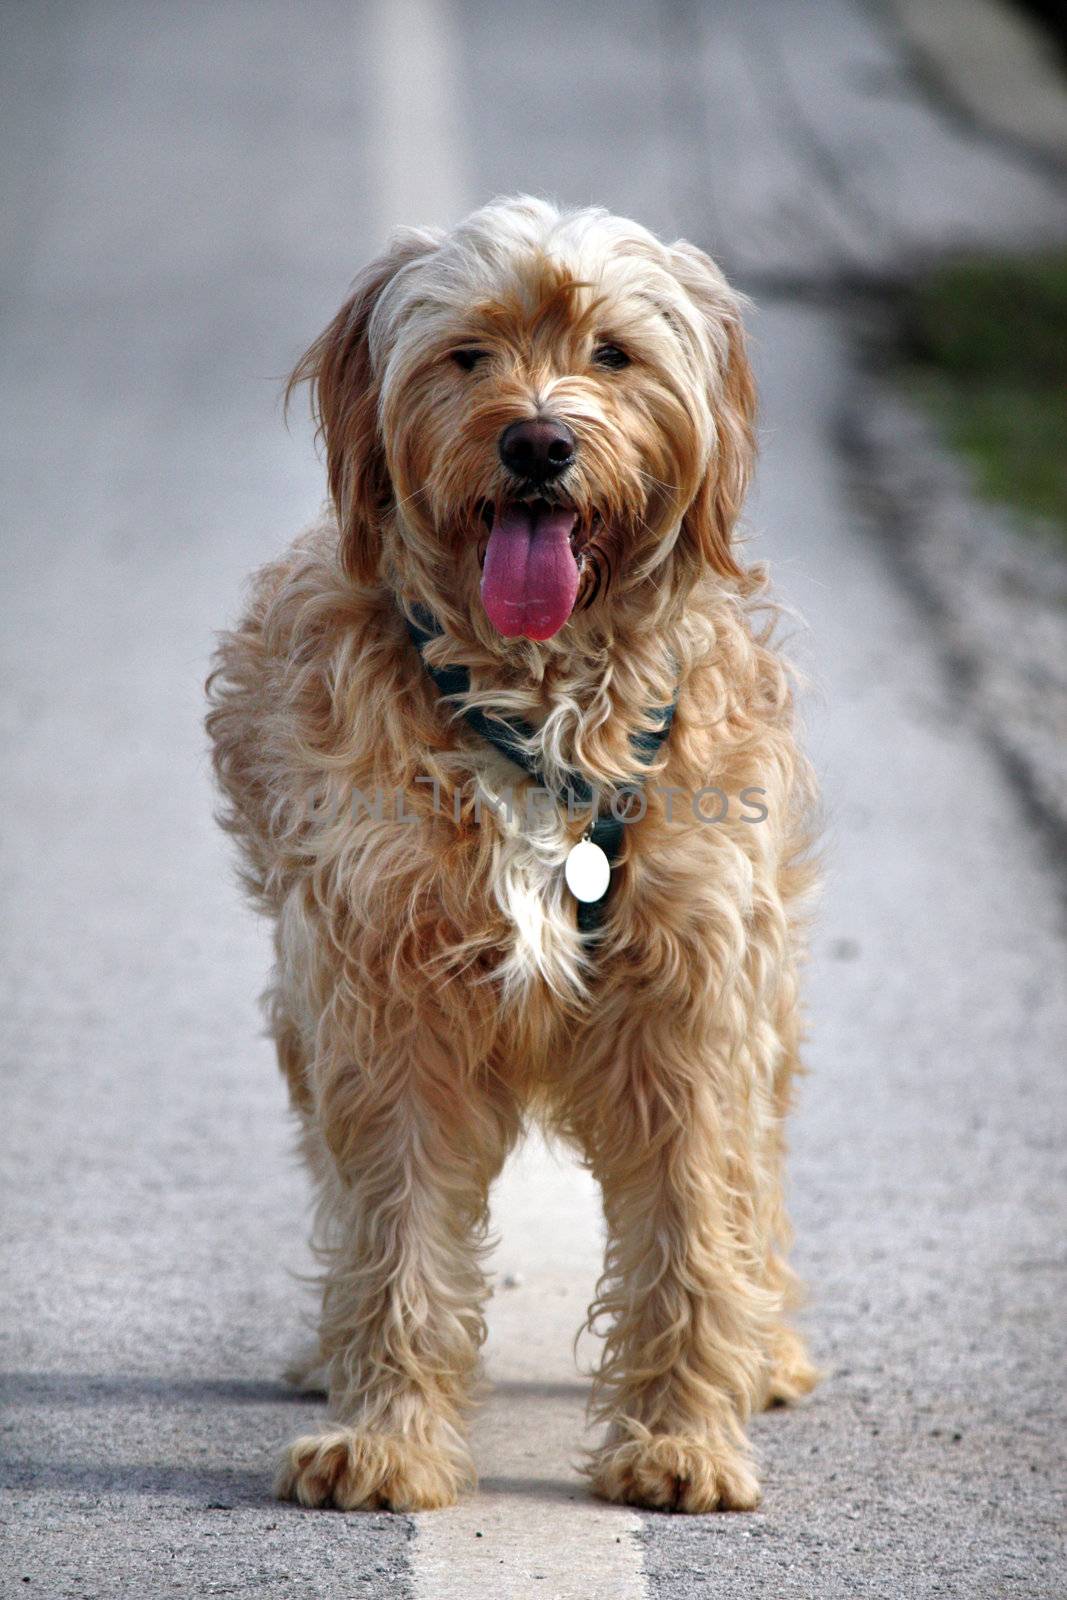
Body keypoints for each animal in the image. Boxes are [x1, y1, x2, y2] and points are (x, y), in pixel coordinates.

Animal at [204, 196, 819, 1510]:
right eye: (469, 353)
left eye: (613, 355)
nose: (537, 442)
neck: (539, 709)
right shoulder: (384, 998)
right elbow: (392, 1235)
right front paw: (386, 1433)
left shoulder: (691, 1002)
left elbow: (694, 1229)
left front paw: (683, 1437)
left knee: (757, 1182)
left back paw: (768, 1350)